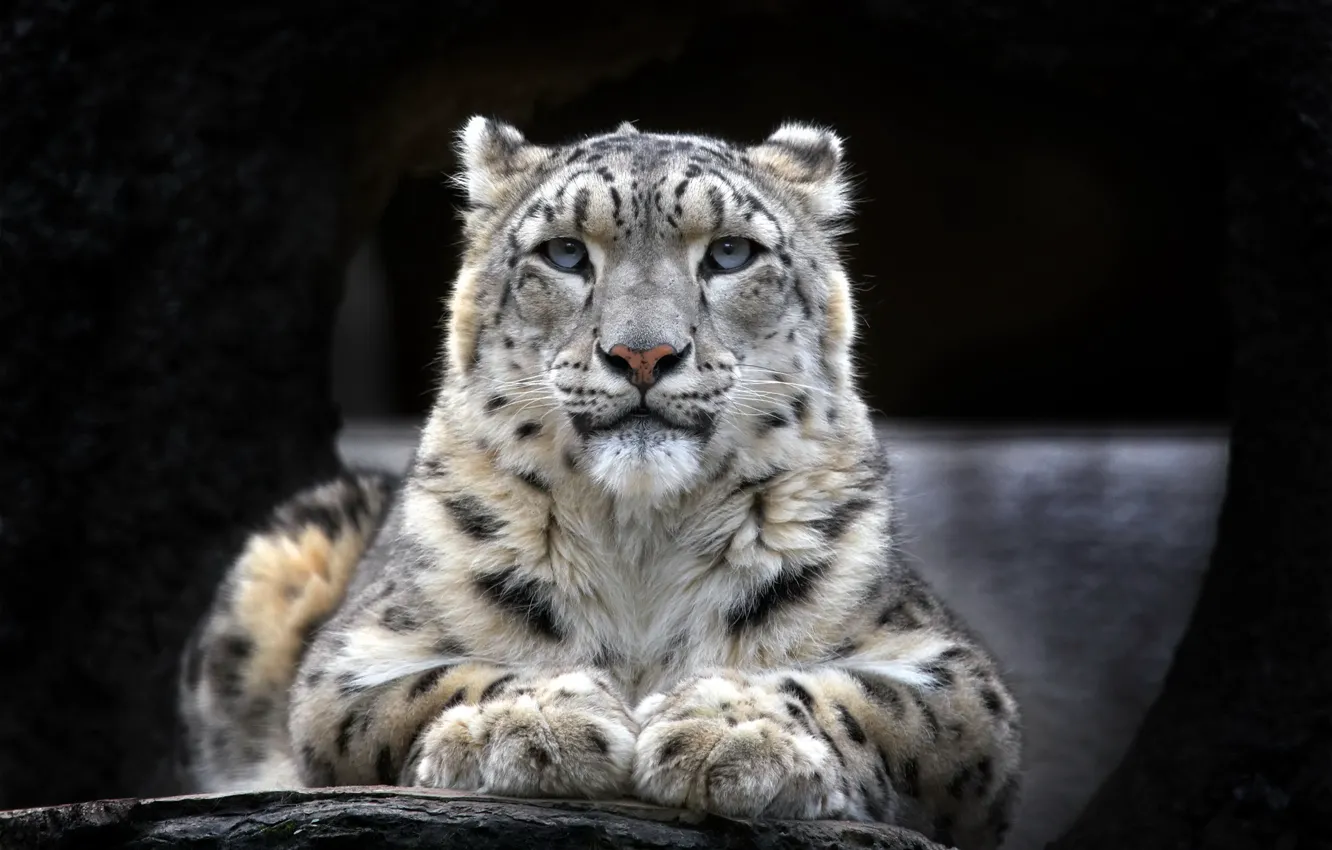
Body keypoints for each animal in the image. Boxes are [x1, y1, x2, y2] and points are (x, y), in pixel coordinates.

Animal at [178, 116, 1023, 849]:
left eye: (730, 253)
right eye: (564, 253)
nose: (642, 354)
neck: (641, 541)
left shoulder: (952, 673)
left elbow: (862, 696)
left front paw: (731, 729)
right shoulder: (354, 658)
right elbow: (436, 682)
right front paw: (532, 722)